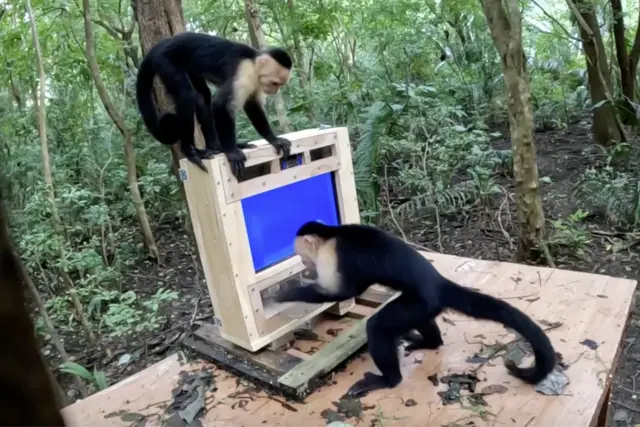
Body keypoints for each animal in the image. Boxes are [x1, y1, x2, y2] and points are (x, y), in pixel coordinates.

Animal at [136, 32, 293, 178]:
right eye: (275, 83)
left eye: (280, 84)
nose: (275, 91)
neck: (253, 63)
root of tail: (161, 45)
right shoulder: (244, 74)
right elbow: (221, 106)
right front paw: (232, 152)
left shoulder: (256, 82)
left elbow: (252, 105)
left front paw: (274, 139)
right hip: (165, 61)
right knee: (186, 96)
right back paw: (190, 151)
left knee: (202, 96)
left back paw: (215, 147)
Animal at [275, 221, 558, 398]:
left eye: (303, 257)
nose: (304, 265)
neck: (333, 235)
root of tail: (439, 282)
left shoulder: (332, 257)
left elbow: (343, 293)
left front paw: (285, 294)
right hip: (424, 305)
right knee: (420, 321)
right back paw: (429, 342)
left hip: (423, 302)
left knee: (378, 326)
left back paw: (389, 379)